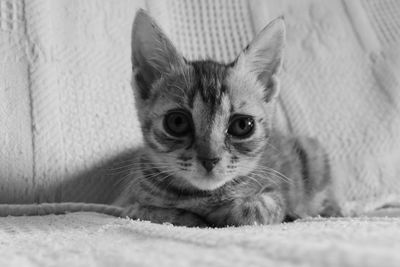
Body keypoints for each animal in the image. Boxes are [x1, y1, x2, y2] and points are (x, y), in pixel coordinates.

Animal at [111, 9, 340, 227]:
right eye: (177, 122)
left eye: (242, 125)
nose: (210, 160)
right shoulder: (126, 204)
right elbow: (151, 211)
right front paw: (191, 216)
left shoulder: (275, 192)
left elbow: (258, 208)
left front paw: (227, 210)